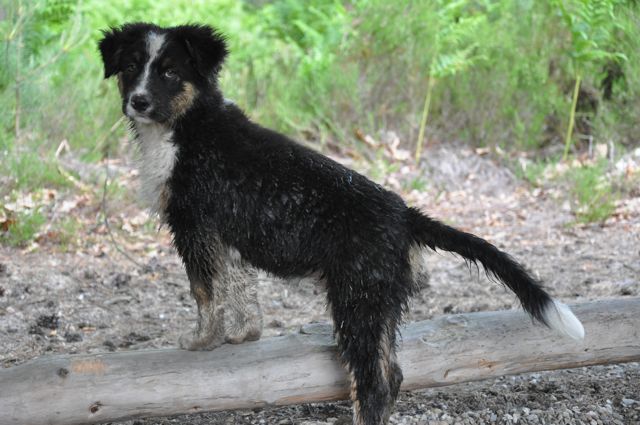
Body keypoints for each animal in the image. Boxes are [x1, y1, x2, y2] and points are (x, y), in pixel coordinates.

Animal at [100, 23, 584, 424]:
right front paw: (242, 335)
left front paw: (201, 341)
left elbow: (204, 290)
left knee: (373, 385)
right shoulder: (224, 232)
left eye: (169, 72)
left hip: (358, 299)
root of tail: (405, 215)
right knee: (394, 375)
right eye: (130, 67)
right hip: (379, 300)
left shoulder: (193, 224)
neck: (189, 124)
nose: (138, 101)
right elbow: (237, 286)